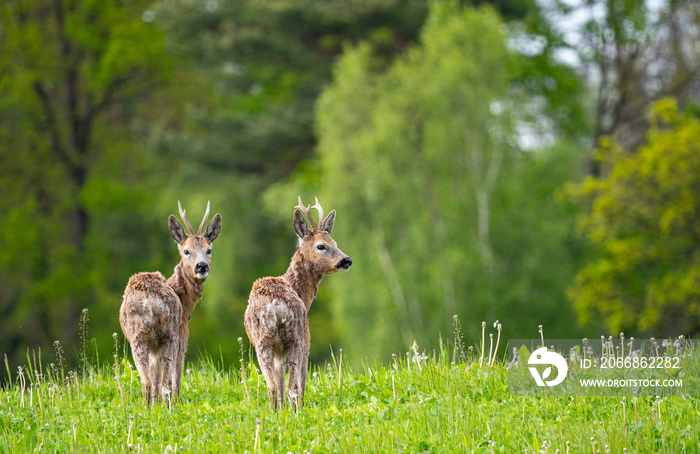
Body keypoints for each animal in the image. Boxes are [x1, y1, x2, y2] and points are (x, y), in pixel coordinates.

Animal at [117, 202, 221, 404]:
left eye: (209, 250)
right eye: (186, 251)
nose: (201, 266)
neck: (186, 305)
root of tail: (151, 302)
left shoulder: (154, 347)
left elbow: (156, 379)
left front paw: (157, 404)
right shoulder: (182, 337)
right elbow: (175, 381)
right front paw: (175, 403)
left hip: (139, 338)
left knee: (149, 381)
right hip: (169, 335)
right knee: (164, 382)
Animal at [245, 195, 352, 412]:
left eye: (334, 242)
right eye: (321, 246)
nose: (346, 260)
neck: (302, 295)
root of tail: (276, 305)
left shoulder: (279, 353)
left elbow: (280, 382)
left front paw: (281, 411)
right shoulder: (306, 342)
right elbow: (300, 385)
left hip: (265, 343)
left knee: (273, 385)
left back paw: (274, 413)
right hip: (295, 339)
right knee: (292, 386)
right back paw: (295, 412)